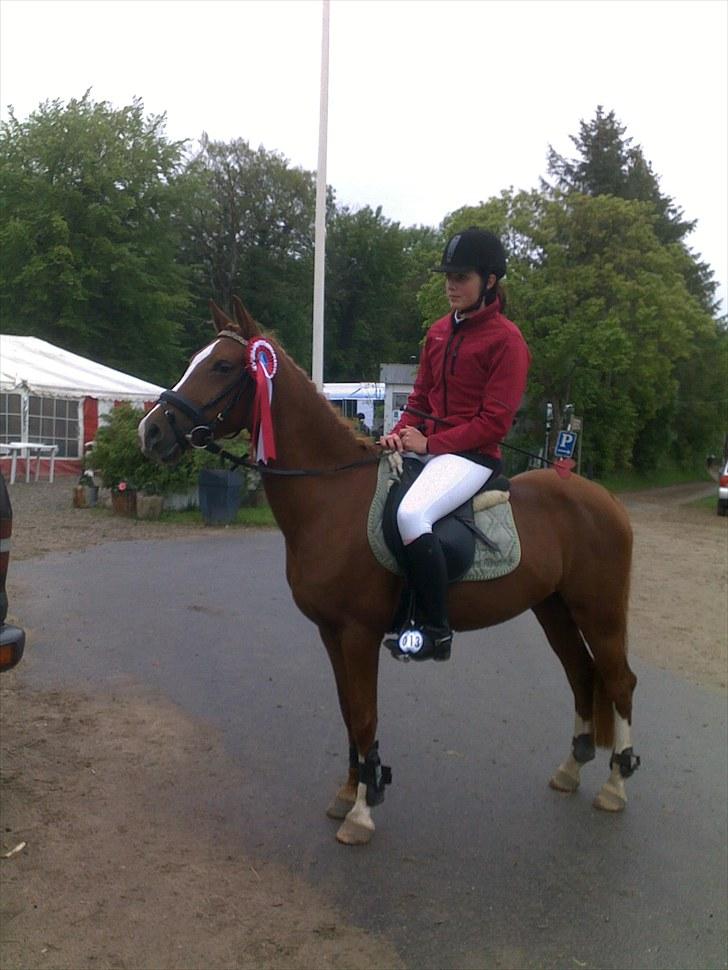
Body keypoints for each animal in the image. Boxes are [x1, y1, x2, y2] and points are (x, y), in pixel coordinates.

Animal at [139, 298, 640, 844]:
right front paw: (350, 791)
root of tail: (603, 498)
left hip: (599, 613)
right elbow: (347, 712)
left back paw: (616, 785)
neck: (333, 498)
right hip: (553, 608)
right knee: (582, 675)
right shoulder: (331, 634)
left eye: (223, 366)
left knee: (619, 681)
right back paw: (571, 769)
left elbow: (363, 715)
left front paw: (361, 811)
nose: (151, 431)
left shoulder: (358, 633)